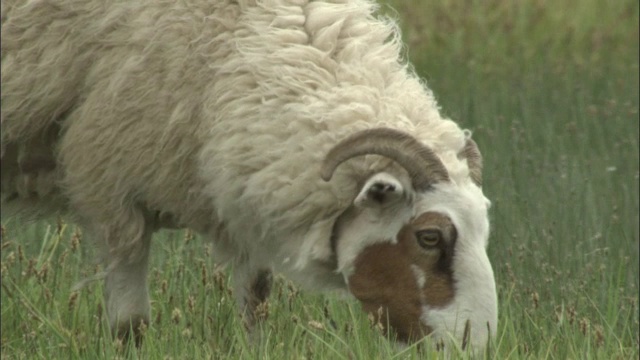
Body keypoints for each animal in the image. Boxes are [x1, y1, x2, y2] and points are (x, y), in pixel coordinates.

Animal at [1, 0, 500, 352]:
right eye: (429, 237)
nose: (475, 345)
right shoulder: (111, 189)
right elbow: (131, 327)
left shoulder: (241, 194)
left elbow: (256, 306)